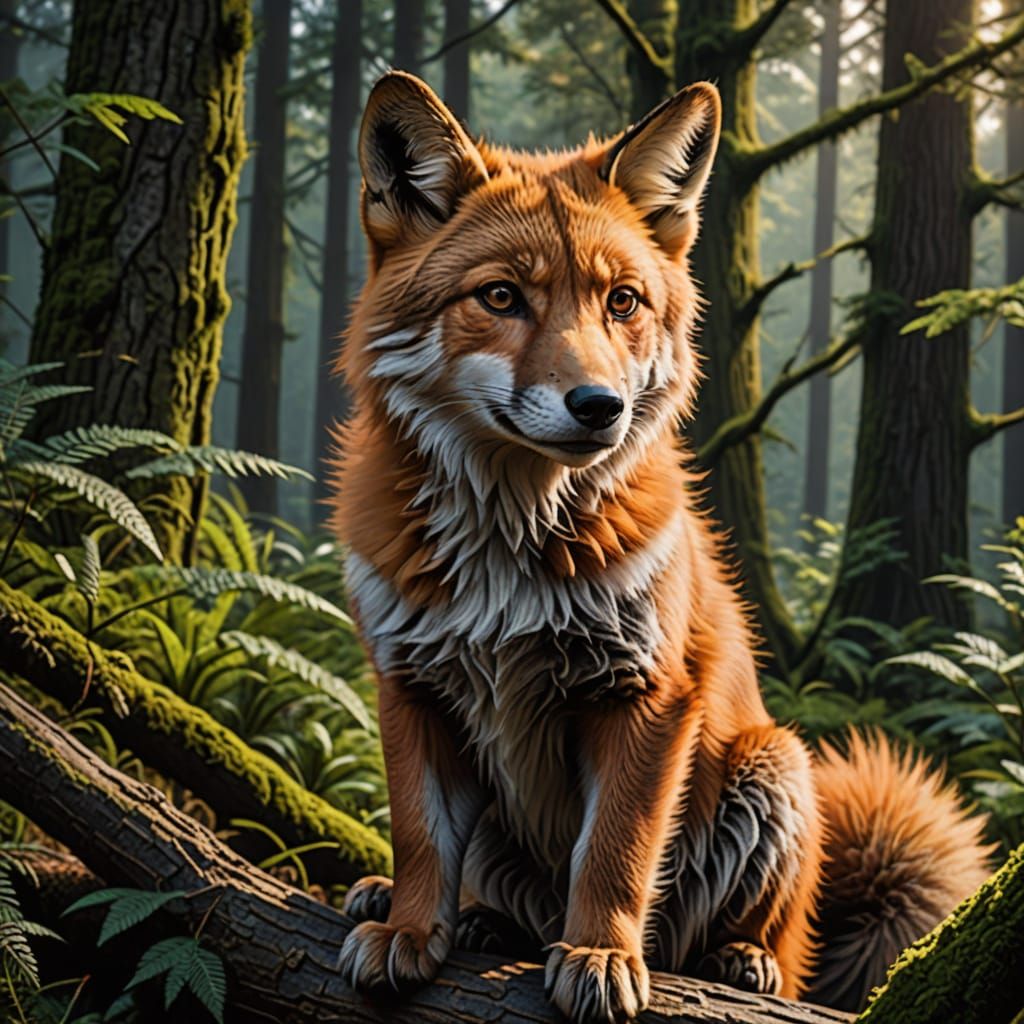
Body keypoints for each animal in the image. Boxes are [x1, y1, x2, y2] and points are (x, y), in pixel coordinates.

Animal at [330, 71, 993, 1022]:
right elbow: (420, 838)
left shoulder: (646, 693)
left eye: (622, 301)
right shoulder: (409, 683)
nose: (599, 406)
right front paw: (412, 929)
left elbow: (614, 851)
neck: (507, 550)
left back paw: (738, 959)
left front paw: (601, 954)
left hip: (774, 765)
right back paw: (467, 915)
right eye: (501, 297)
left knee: (765, 944)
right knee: (497, 894)